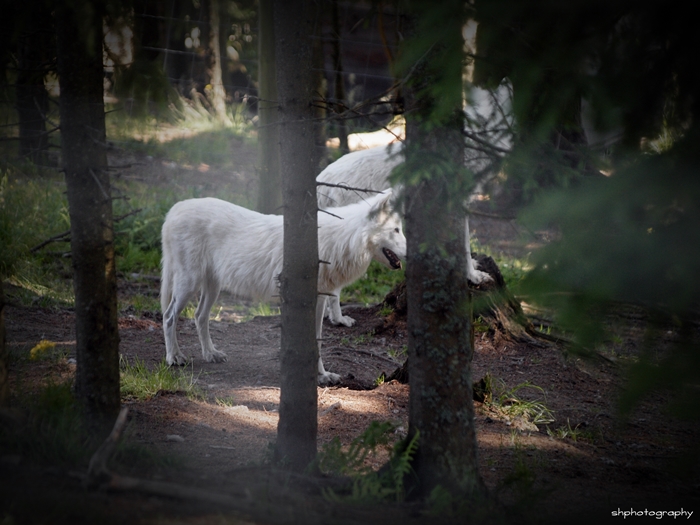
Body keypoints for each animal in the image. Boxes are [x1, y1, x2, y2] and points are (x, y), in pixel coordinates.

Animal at [159, 190, 408, 382]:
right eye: (397, 230)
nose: (413, 253)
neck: (343, 240)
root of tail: (174, 209)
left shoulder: (318, 300)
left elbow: (317, 341)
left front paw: (322, 376)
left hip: (212, 286)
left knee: (199, 316)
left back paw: (211, 354)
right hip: (188, 284)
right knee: (169, 316)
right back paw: (174, 358)